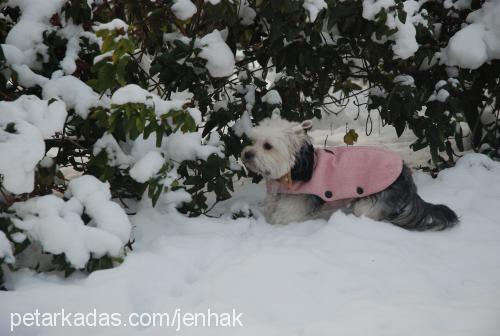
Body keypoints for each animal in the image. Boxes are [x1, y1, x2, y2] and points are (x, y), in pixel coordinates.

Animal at [240, 116, 458, 231]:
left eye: (268, 146)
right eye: (253, 141)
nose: (246, 154)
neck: (294, 169)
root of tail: (405, 174)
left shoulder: (292, 210)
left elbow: (281, 219)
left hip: (368, 203)